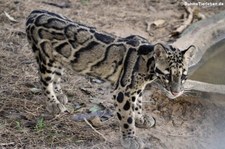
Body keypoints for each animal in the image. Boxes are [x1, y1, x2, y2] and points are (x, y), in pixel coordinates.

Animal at [25, 9, 195, 148]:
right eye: (167, 75)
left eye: (183, 75)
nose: (176, 93)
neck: (148, 65)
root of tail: (34, 12)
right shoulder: (123, 90)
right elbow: (126, 117)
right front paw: (130, 139)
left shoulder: (137, 88)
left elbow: (138, 104)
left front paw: (140, 118)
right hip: (46, 58)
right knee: (44, 81)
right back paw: (53, 102)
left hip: (60, 58)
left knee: (56, 77)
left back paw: (60, 94)